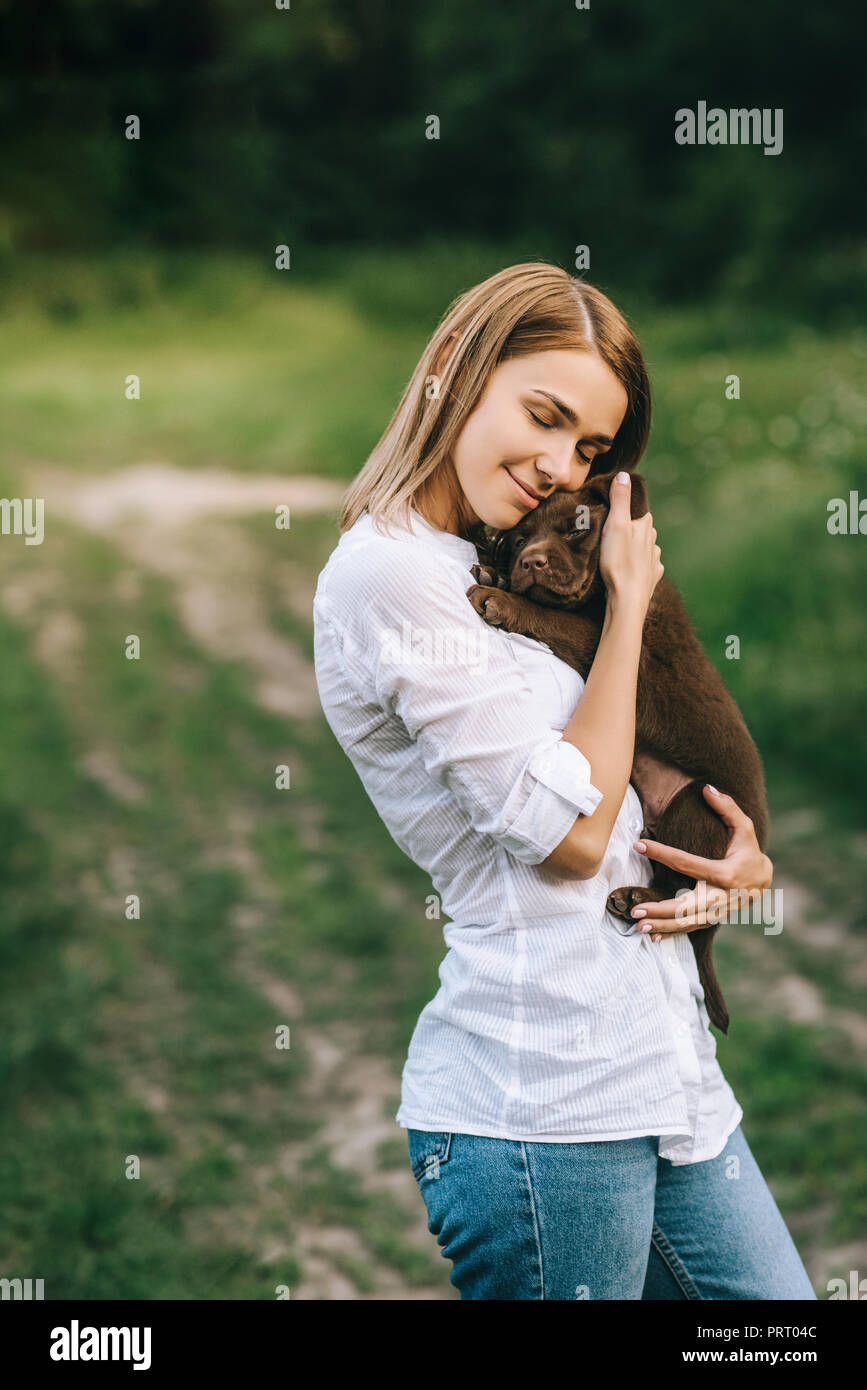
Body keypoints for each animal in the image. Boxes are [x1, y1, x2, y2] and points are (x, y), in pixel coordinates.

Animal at [464, 469, 766, 1034]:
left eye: (576, 530)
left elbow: (554, 618)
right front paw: (494, 570)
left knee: (684, 887)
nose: (529, 562)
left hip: (697, 803)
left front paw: (499, 594)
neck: (604, 598)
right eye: (520, 537)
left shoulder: (613, 645)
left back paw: (637, 898)